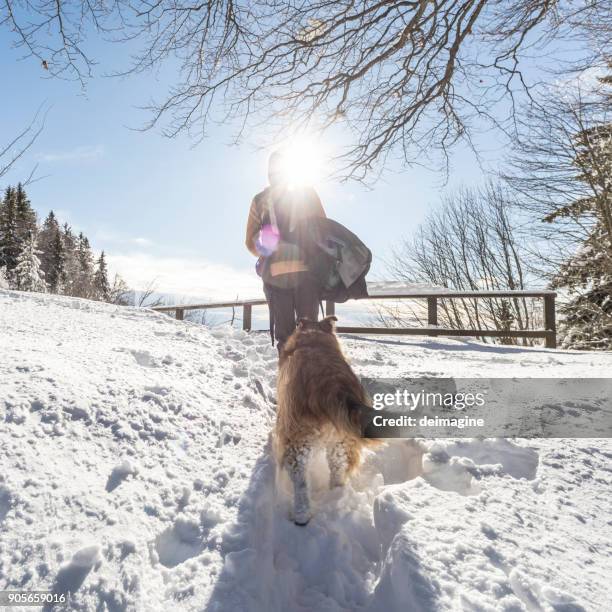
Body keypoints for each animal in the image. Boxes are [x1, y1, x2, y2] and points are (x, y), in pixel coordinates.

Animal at [274, 316, 378, 524]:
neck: (314, 336)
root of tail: (332, 385)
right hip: (342, 442)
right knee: (338, 472)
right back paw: (337, 498)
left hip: (299, 439)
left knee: (300, 480)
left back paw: (301, 514)